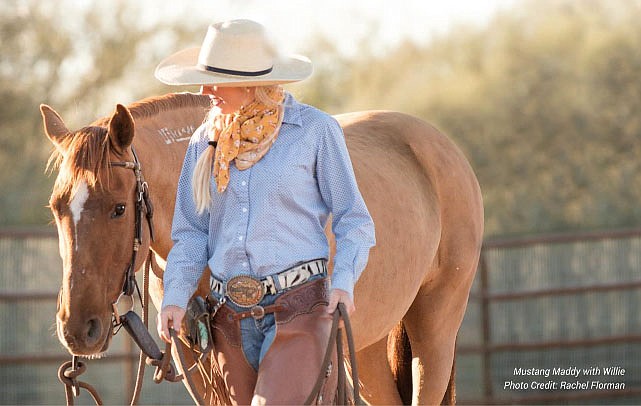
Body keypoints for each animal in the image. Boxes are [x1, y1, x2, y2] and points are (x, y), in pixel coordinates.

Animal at [41, 93, 480, 406]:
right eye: (57, 208)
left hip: (435, 332)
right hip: (367, 348)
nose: (77, 328)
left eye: (118, 208)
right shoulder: (207, 372)